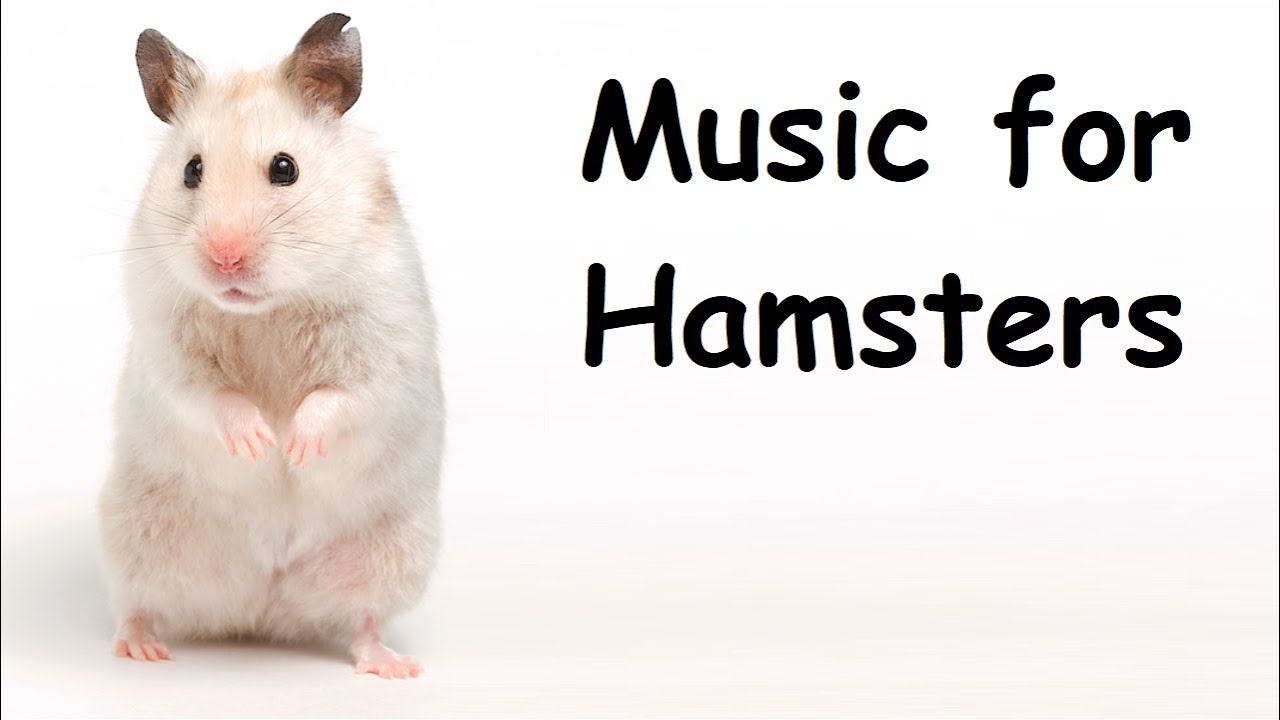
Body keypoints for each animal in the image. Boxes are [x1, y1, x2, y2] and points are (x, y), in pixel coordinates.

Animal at [98, 13, 444, 679]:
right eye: (191, 170)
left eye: (285, 168)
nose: (225, 258)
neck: (265, 311)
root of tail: (262, 606)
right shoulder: (167, 350)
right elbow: (209, 395)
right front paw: (260, 444)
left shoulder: (384, 346)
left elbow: (339, 396)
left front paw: (295, 449)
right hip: (135, 534)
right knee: (136, 603)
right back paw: (141, 649)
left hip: (392, 552)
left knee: (362, 620)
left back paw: (392, 665)